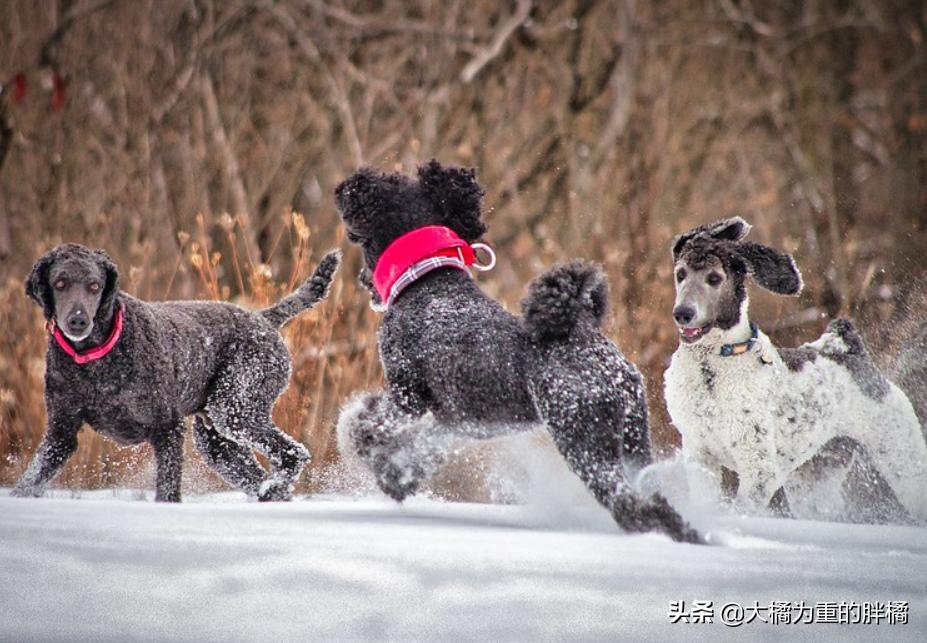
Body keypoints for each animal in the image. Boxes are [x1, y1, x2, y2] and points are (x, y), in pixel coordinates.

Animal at [12, 244, 340, 500]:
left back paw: (275, 483)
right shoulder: (61, 433)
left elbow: (167, 491)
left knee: (293, 453)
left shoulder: (167, 429)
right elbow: (30, 479)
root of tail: (264, 319)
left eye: (94, 285)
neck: (95, 357)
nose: (78, 321)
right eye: (60, 283)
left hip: (234, 409)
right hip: (218, 443)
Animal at [338, 160, 700, 544]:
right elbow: (422, 447)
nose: (363, 280)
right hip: (633, 437)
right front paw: (396, 477)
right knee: (652, 493)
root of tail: (601, 360)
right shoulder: (458, 420)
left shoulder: (407, 392)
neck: (426, 281)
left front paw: (365, 446)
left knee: (626, 500)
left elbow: (370, 424)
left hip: (582, 437)